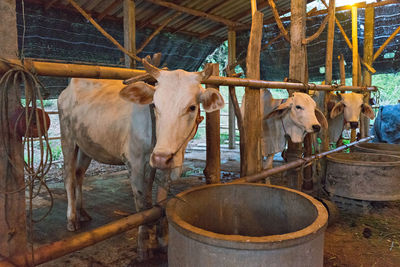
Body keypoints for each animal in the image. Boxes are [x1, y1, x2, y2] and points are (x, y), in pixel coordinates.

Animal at [57, 59, 225, 260]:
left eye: (192, 107)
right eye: (156, 106)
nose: (161, 157)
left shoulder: (163, 164)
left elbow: (159, 201)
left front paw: (162, 240)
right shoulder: (134, 162)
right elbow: (142, 205)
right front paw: (144, 246)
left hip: (86, 145)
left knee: (79, 174)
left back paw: (82, 212)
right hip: (68, 138)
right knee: (68, 176)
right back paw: (72, 218)